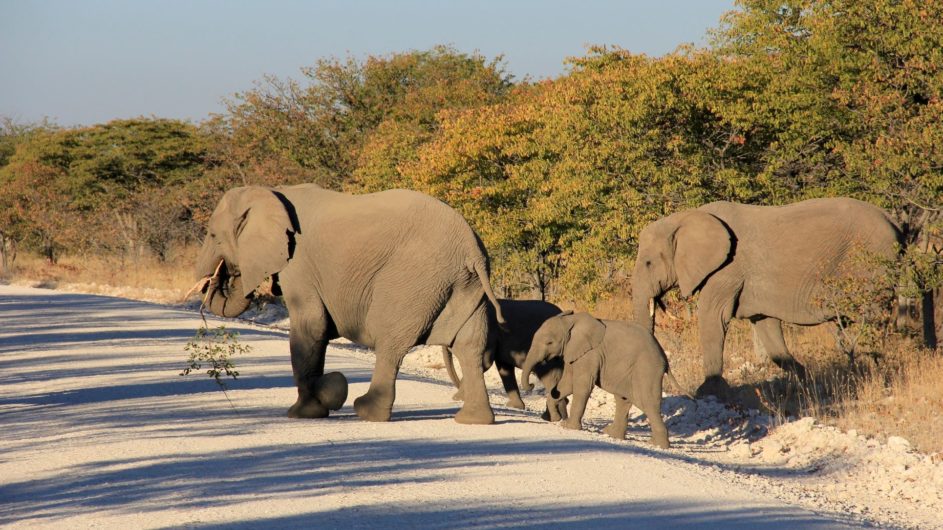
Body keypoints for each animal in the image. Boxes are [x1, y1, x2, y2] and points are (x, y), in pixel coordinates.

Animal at [191, 184, 508, 422]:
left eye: (213, 235)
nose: (221, 275)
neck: (270, 192)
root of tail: (471, 249)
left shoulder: (299, 265)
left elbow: (311, 327)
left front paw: (306, 411)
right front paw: (327, 394)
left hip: (414, 280)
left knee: (390, 342)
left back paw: (366, 411)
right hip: (464, 286)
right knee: (469, 345)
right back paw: (473, 420)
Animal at [520, 310, 684, 446]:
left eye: (549, 342)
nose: (531, 385)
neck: (571, 321)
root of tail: (664, 356)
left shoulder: (590, 354)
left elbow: (581, 386)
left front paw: (568, 426)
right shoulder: (574, 353)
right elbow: (567, 384)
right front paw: (556, 419)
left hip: (646, 368)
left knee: (647, 401)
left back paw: (658, 445)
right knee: (623, 399)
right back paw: (612, 434)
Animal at [632, 198, 904, 396]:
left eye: (648, 263)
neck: (686, 217)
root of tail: (894, 221)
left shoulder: (727, 270)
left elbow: (712, 317)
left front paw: (708, 392)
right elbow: (766, 327)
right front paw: (804, 382)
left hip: (872, 267)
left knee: (872, 322)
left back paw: (877, 377)